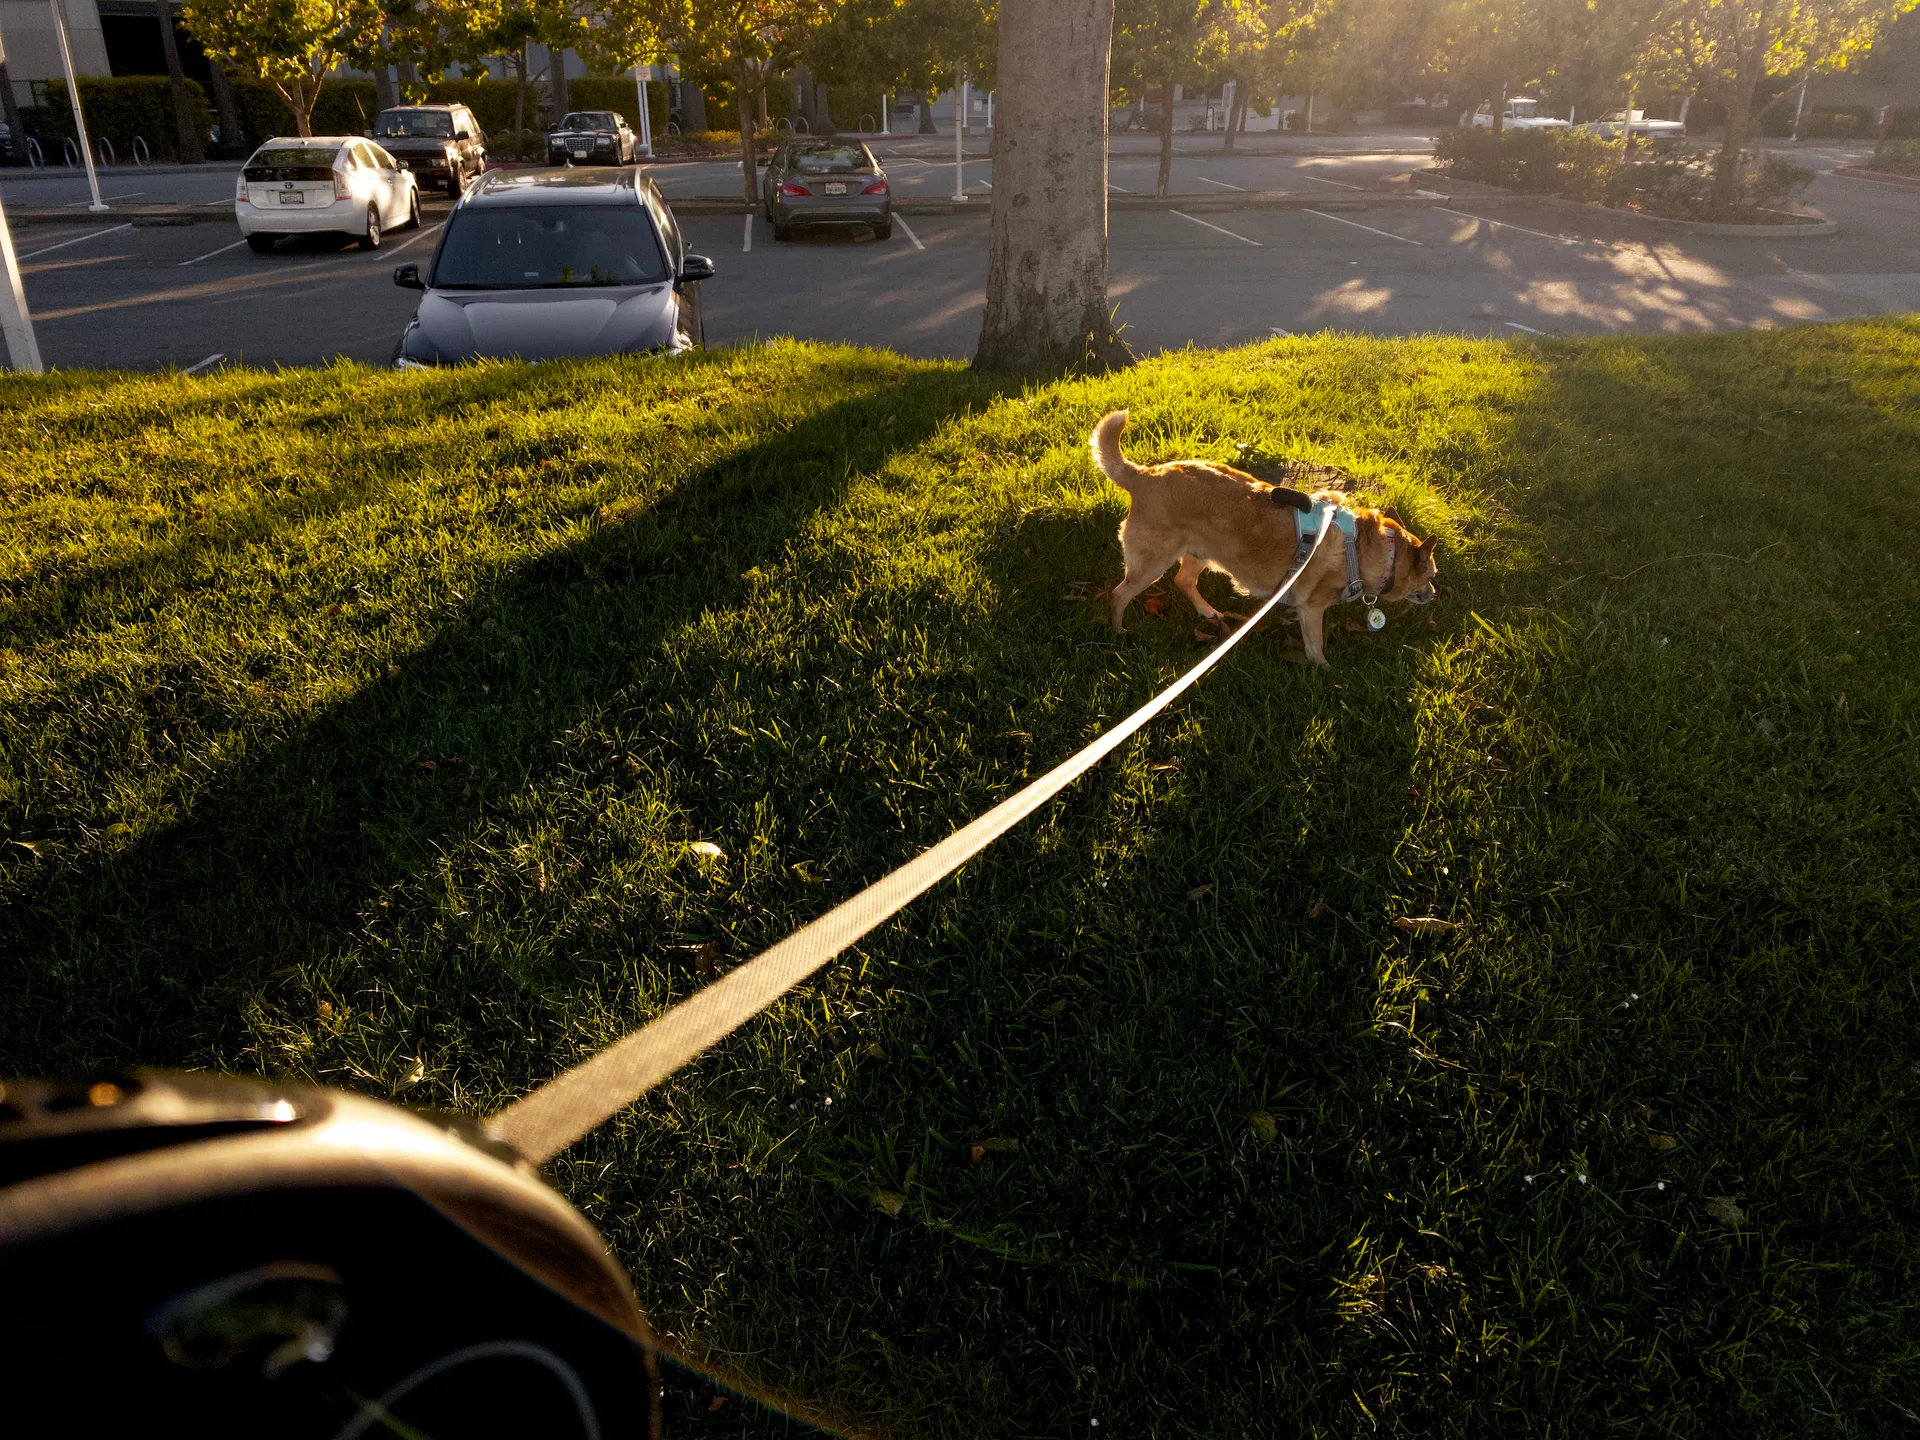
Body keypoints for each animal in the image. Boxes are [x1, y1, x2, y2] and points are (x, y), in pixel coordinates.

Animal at [1090, 408, 1436, 668]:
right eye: (1431, 574)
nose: (1434, 594)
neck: (1366, 548)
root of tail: (1144, 475)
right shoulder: (1313, 608)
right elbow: (1316, 645)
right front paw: (1324, 670)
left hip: (1200, 553)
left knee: (1183, 581)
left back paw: (1208, 612)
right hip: (1151, 563)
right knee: (1119, 594)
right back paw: (1118, 631)